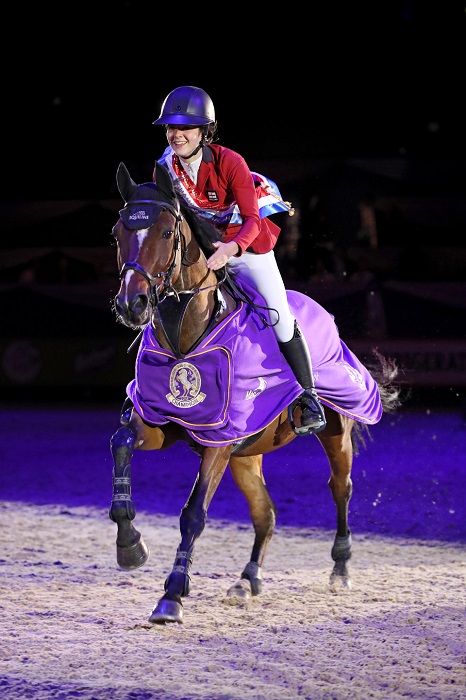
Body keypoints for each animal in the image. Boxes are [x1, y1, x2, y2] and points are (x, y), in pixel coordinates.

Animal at [108, 163, 400, 624]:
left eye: (167, 233)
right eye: (117, 231)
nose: (131, 305)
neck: (185, 334)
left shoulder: (219, 442)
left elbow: (193, 514)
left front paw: (172, 595)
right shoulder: (162, 424)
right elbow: (121, 443)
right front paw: (130, 547)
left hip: (336, 429)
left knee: (341, 486)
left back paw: (340, 569)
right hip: (248, 454)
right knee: (266, 512)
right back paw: (247, 580)